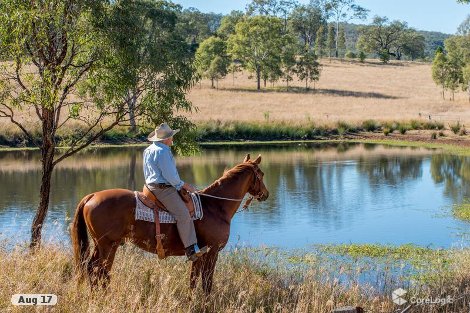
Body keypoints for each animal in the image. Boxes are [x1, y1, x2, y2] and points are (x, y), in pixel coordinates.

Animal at [70, 154, 268, 292]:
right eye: (262, 174)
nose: (265, 194)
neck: (215, 206)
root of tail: (92, 196)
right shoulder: (212, 252)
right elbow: (206, 282)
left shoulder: (199, 255)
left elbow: (193, 281)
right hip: (107, 246)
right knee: (98, 271)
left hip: (103, 245)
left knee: (94, 270)